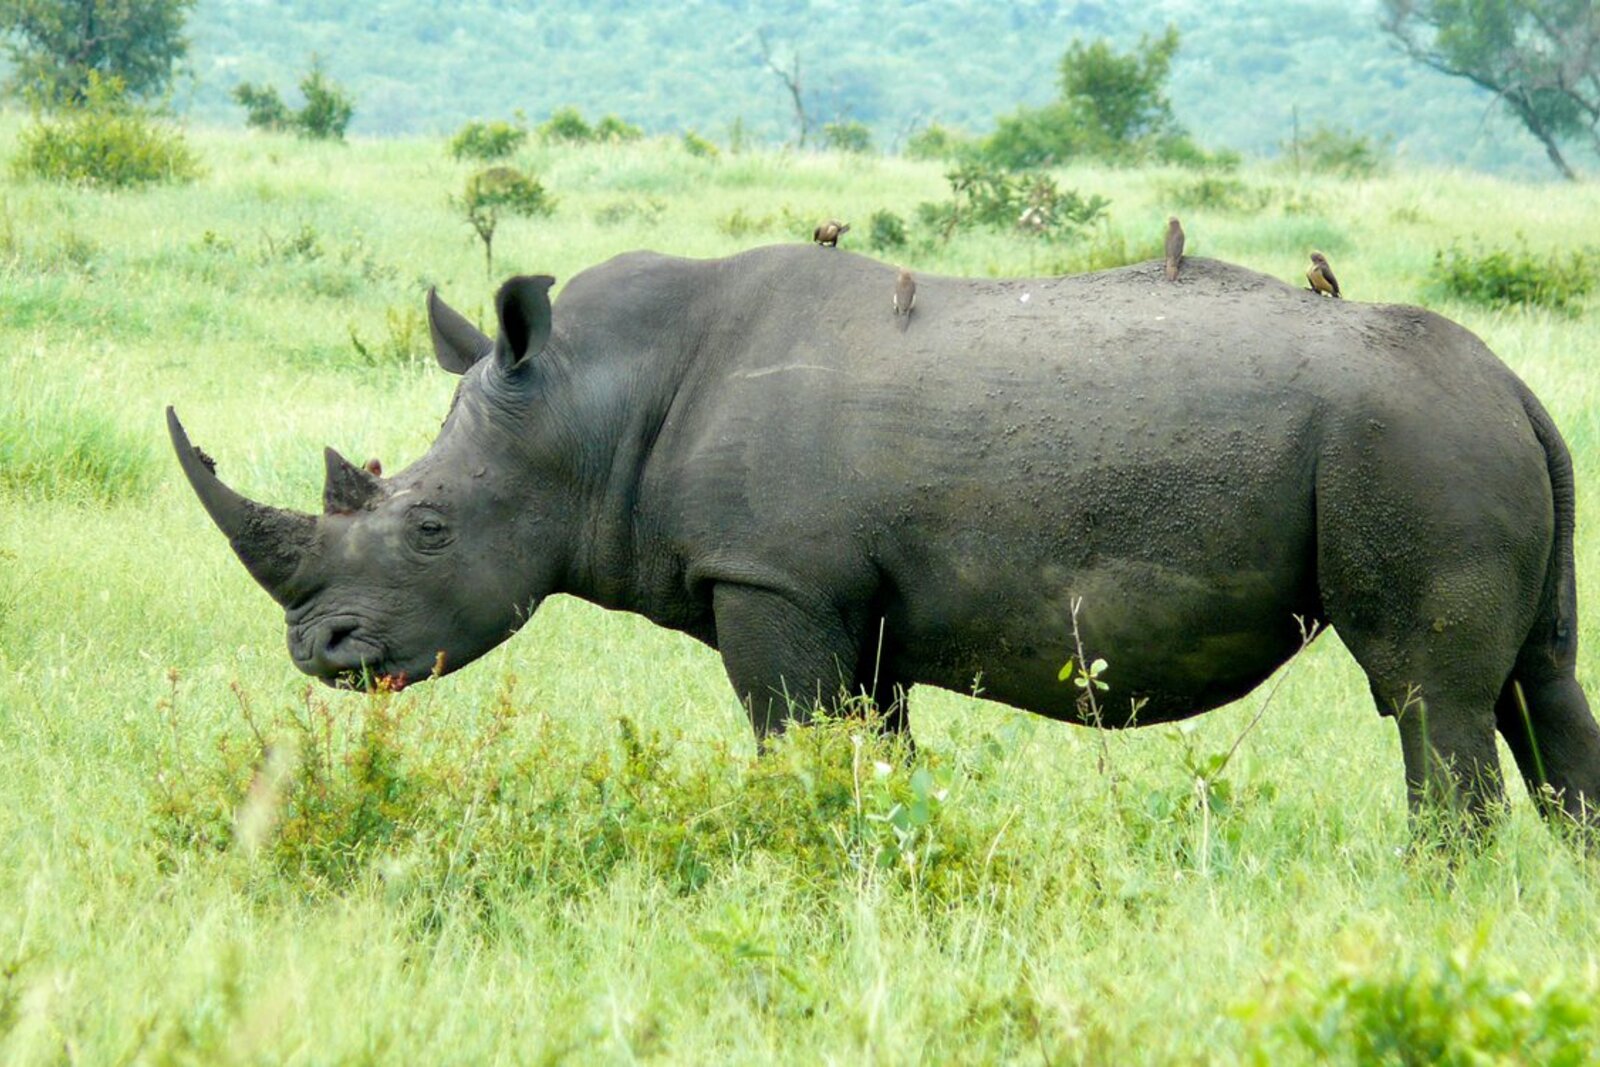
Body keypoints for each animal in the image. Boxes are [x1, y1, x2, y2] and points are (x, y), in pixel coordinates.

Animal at [170, 246, 1599, 830]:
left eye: (428, 526)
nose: (318, 650)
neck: (589, 405)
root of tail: (1517, 387)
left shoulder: (772, 579)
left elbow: (796, 737)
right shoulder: (845, 600)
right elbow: (872, 745)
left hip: (1404, 441)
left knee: (1424, 696)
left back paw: (1438, 889)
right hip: (1465, 433)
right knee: (1536, 683)